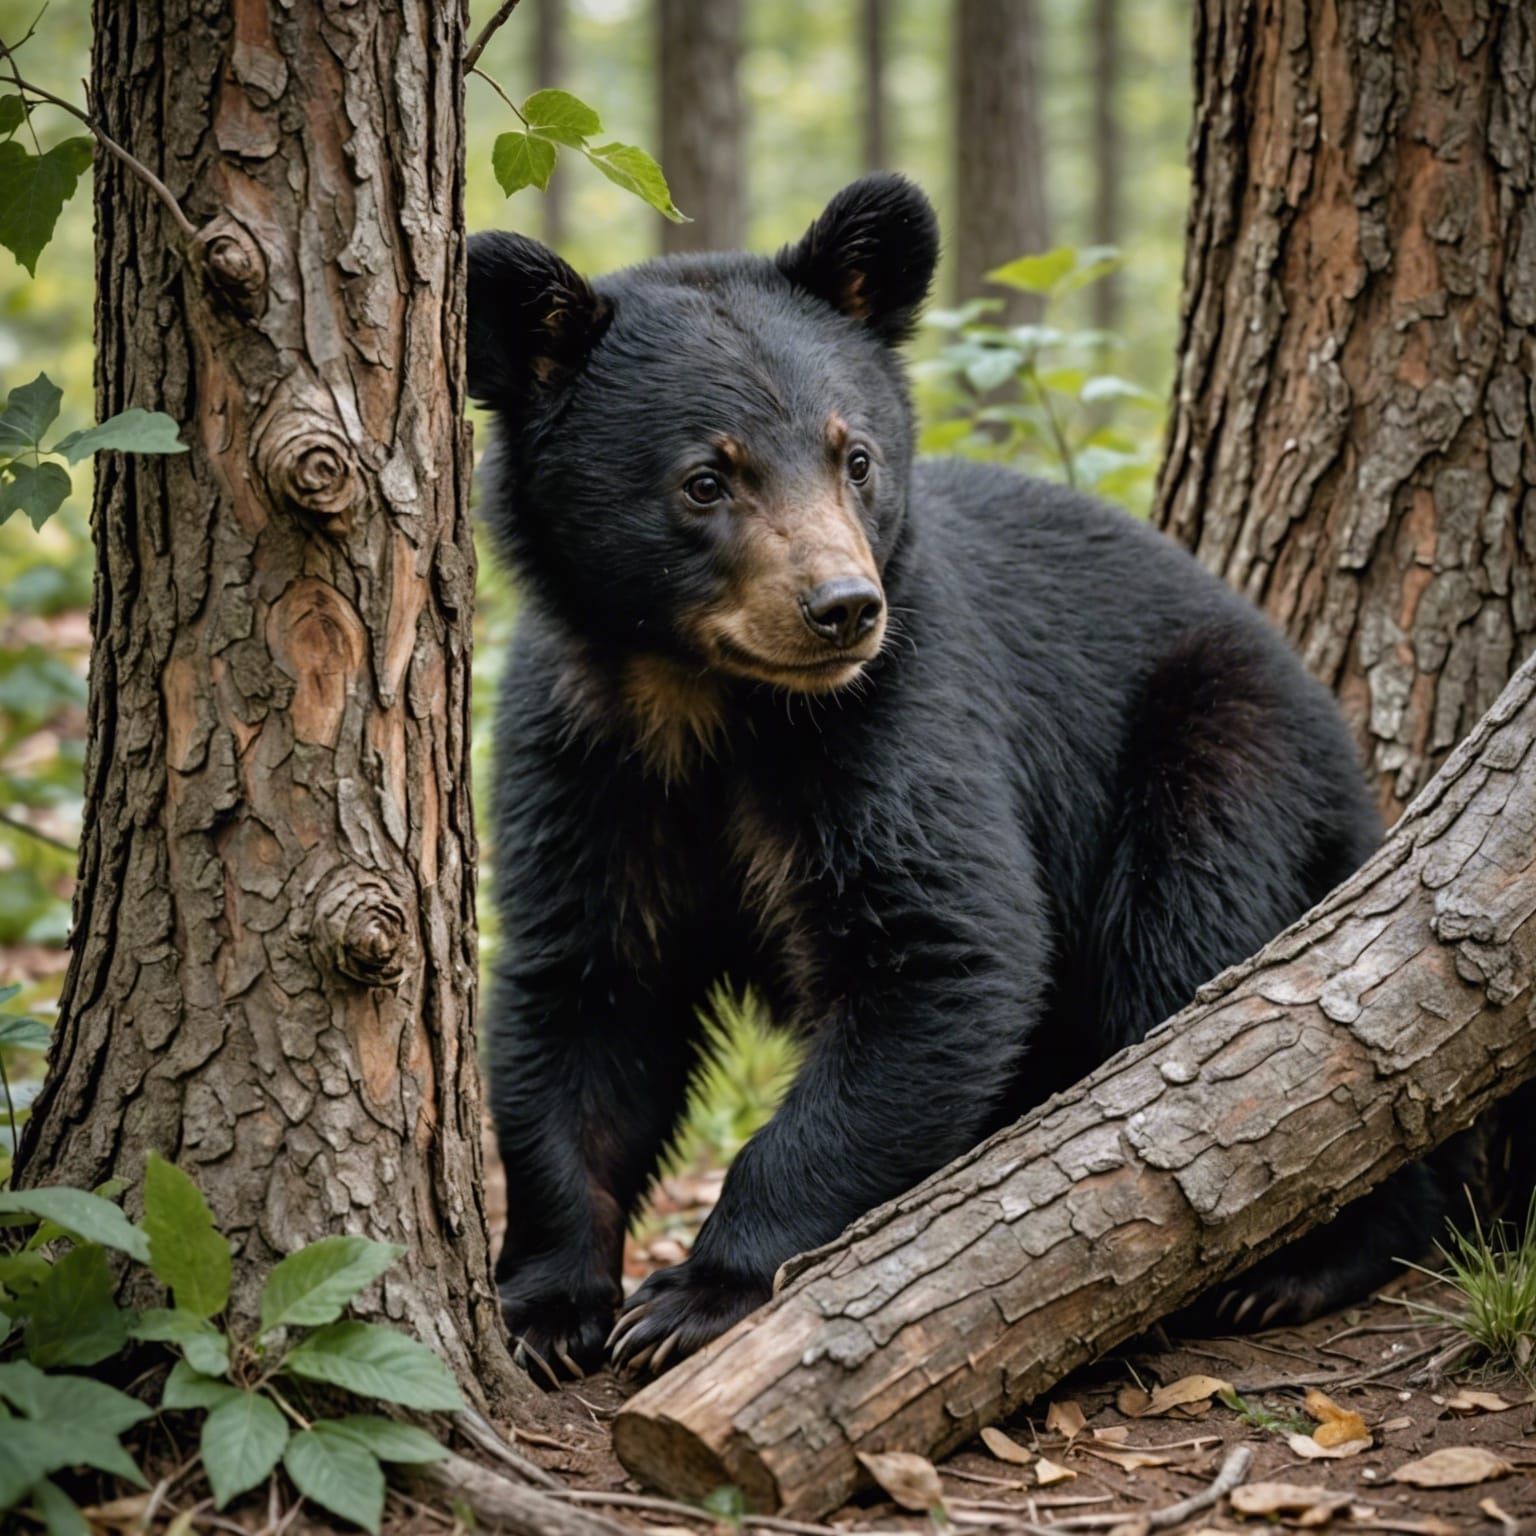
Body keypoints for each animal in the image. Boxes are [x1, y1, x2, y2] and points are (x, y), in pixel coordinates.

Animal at [466, 174, 1471, 1382]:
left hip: (1221, 755)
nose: (841, 608)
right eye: (706, 479)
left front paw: (697, 1295)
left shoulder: (902, 714)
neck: (711, 707)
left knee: (1202, 966)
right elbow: (585, 990)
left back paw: (1300, 1264)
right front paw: (548, 1303)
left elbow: (942, 952)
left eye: (854, 456)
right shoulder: (586, 758)